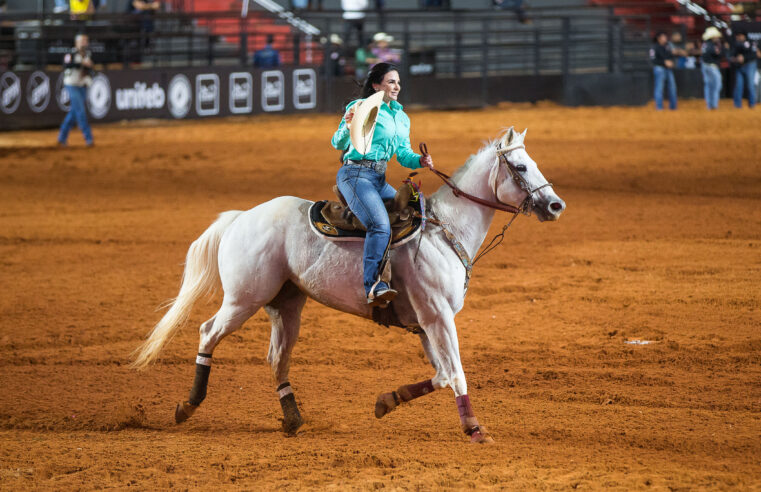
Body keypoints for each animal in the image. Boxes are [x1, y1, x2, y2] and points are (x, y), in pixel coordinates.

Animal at [132, 127, 564, 442]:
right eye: (521, 167)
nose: (556, 205)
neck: (444, 230)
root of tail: (242, 217)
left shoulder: (426, 323)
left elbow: (442, 374)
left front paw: (386, 401)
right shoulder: (439, 317)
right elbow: (456, 373)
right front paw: (473, 428)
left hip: (287, 305)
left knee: (277, 357)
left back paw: (293, 419)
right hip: (243, 299)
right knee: (208, 333)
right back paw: (188, 405)